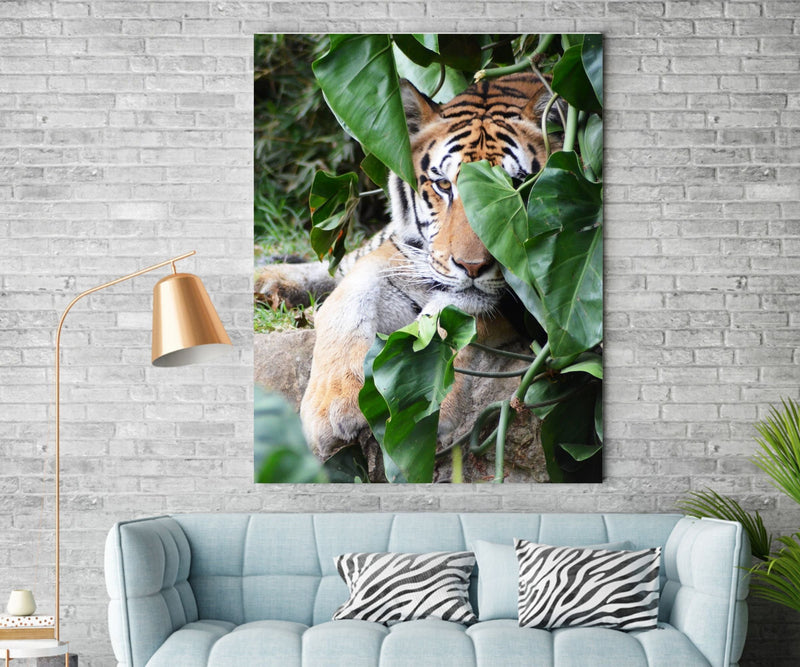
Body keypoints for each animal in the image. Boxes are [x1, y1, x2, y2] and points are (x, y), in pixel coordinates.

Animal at [255, 72, 561, 462]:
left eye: (517, 188)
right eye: (444, 184)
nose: (472, 267)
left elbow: (441, 321)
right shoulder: (403, 254)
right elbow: (348, 298)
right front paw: (332, 406)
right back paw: (266, 281)